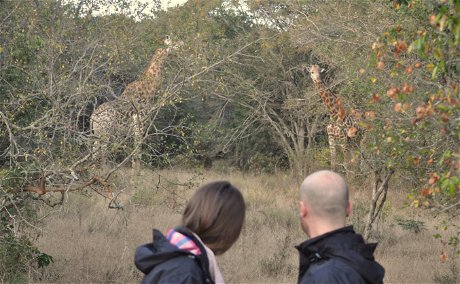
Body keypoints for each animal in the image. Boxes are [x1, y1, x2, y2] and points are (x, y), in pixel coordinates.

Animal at [90, 35, 181, 169]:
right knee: (103, 153)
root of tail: (93, 116)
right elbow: (137, 155)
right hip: (106, 132)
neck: (148, 89)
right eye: (175, 45)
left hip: (97, 133)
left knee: (95, 152)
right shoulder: (140, 126)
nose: (182, 44)